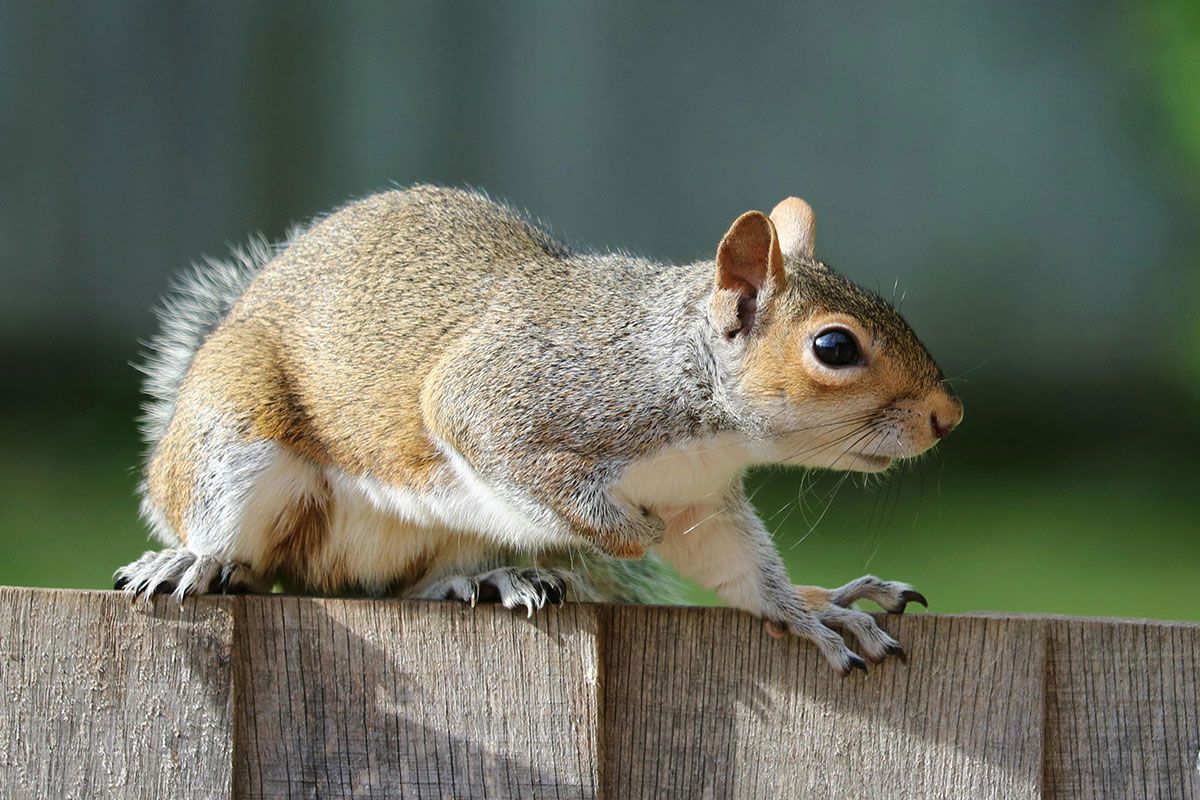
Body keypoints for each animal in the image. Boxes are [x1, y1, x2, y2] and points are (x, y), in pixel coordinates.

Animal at [116, 185, 962, 674]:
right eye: (834, 347)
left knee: (397, 585)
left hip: (437, 540)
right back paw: (193, 560)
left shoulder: (699, 499)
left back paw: (485, 578)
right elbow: (514, 458)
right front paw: (626, 533)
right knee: (239, 542)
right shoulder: (506, 399)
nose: (947, 417)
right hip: (235, 435)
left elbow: (737, 568)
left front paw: (811, 609)